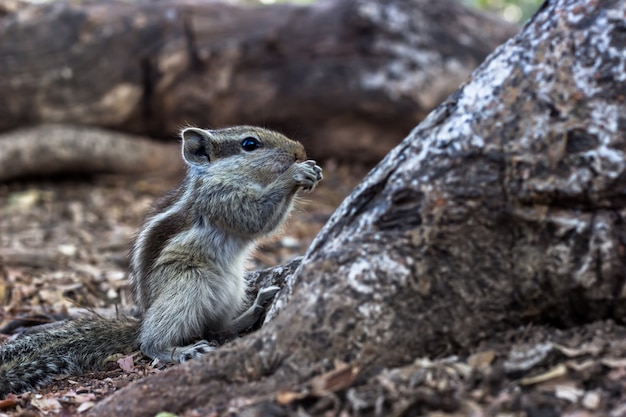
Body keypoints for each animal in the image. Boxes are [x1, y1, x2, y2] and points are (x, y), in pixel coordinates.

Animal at [0, 125, 322, 394]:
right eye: (250, 144)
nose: (300, 151)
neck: (220, 176)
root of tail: (142, 317)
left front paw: (311, 170)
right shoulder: (219, 199)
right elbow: (256, 218)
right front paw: (295, 175)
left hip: (232, 287)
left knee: (217, 327)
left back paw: (254, 308)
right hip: (187, 283)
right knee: (152, 340)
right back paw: (177, 351)